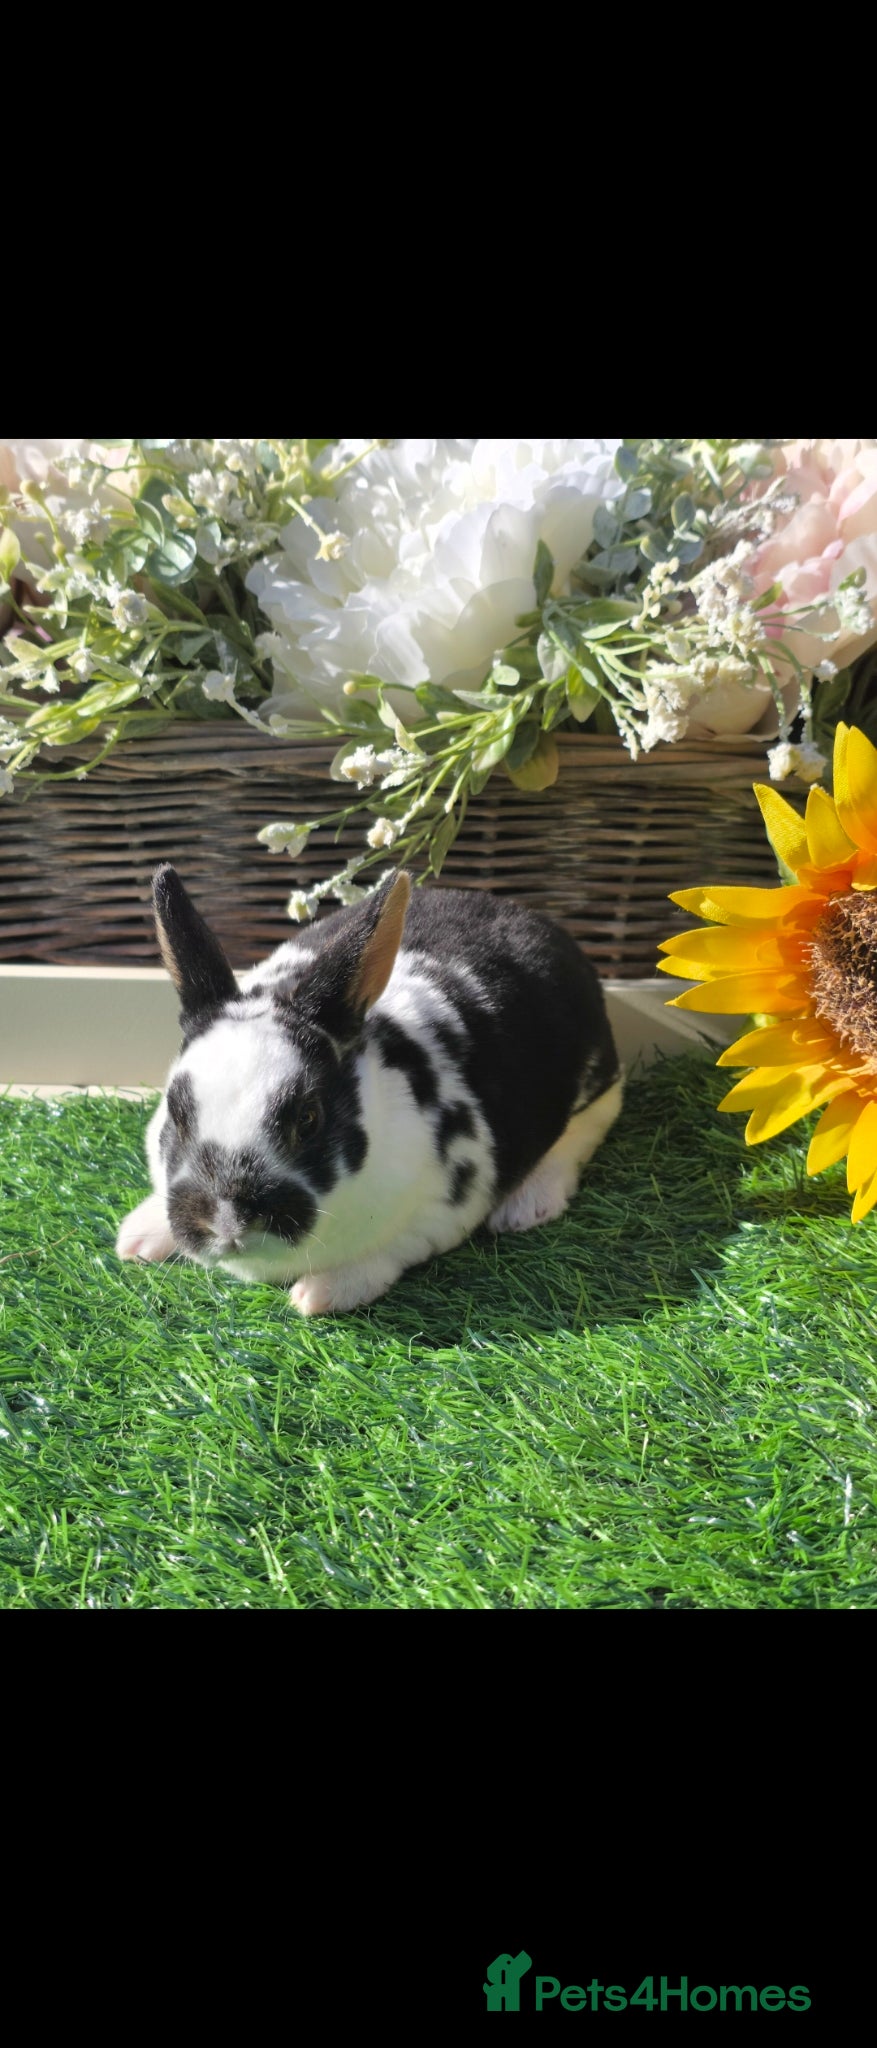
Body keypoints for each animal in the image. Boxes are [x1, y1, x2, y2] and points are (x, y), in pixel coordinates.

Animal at [115, 863, 623, 1315]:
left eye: (308, 1119)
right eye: (176, 1113)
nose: (226, 1223)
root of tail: (532, 917)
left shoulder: (444, 1212)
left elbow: (388, 1252)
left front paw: (321, 1293)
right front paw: (135, 1239)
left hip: (595, 1083)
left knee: (591, 1123)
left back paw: (528, 1206)